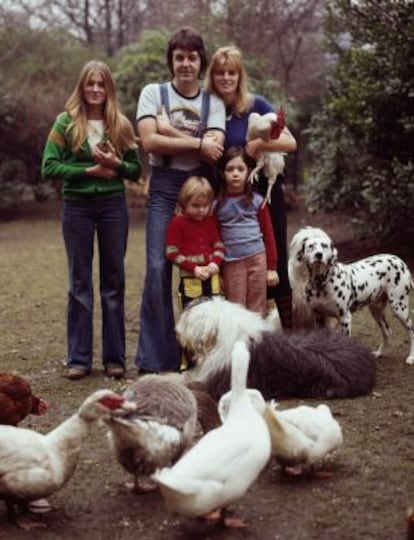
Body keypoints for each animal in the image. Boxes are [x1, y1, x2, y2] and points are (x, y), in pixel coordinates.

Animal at [288, 226, 414, 364]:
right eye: (311, 246)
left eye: (324, 246)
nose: (319, 255)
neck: (321, 283)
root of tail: (400, 261)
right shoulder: (319, 317)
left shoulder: (345, 319)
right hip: (376, 311)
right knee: (386, 332)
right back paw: (379, 353)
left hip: (399, 309)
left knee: (411, 332)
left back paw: (411, 357)